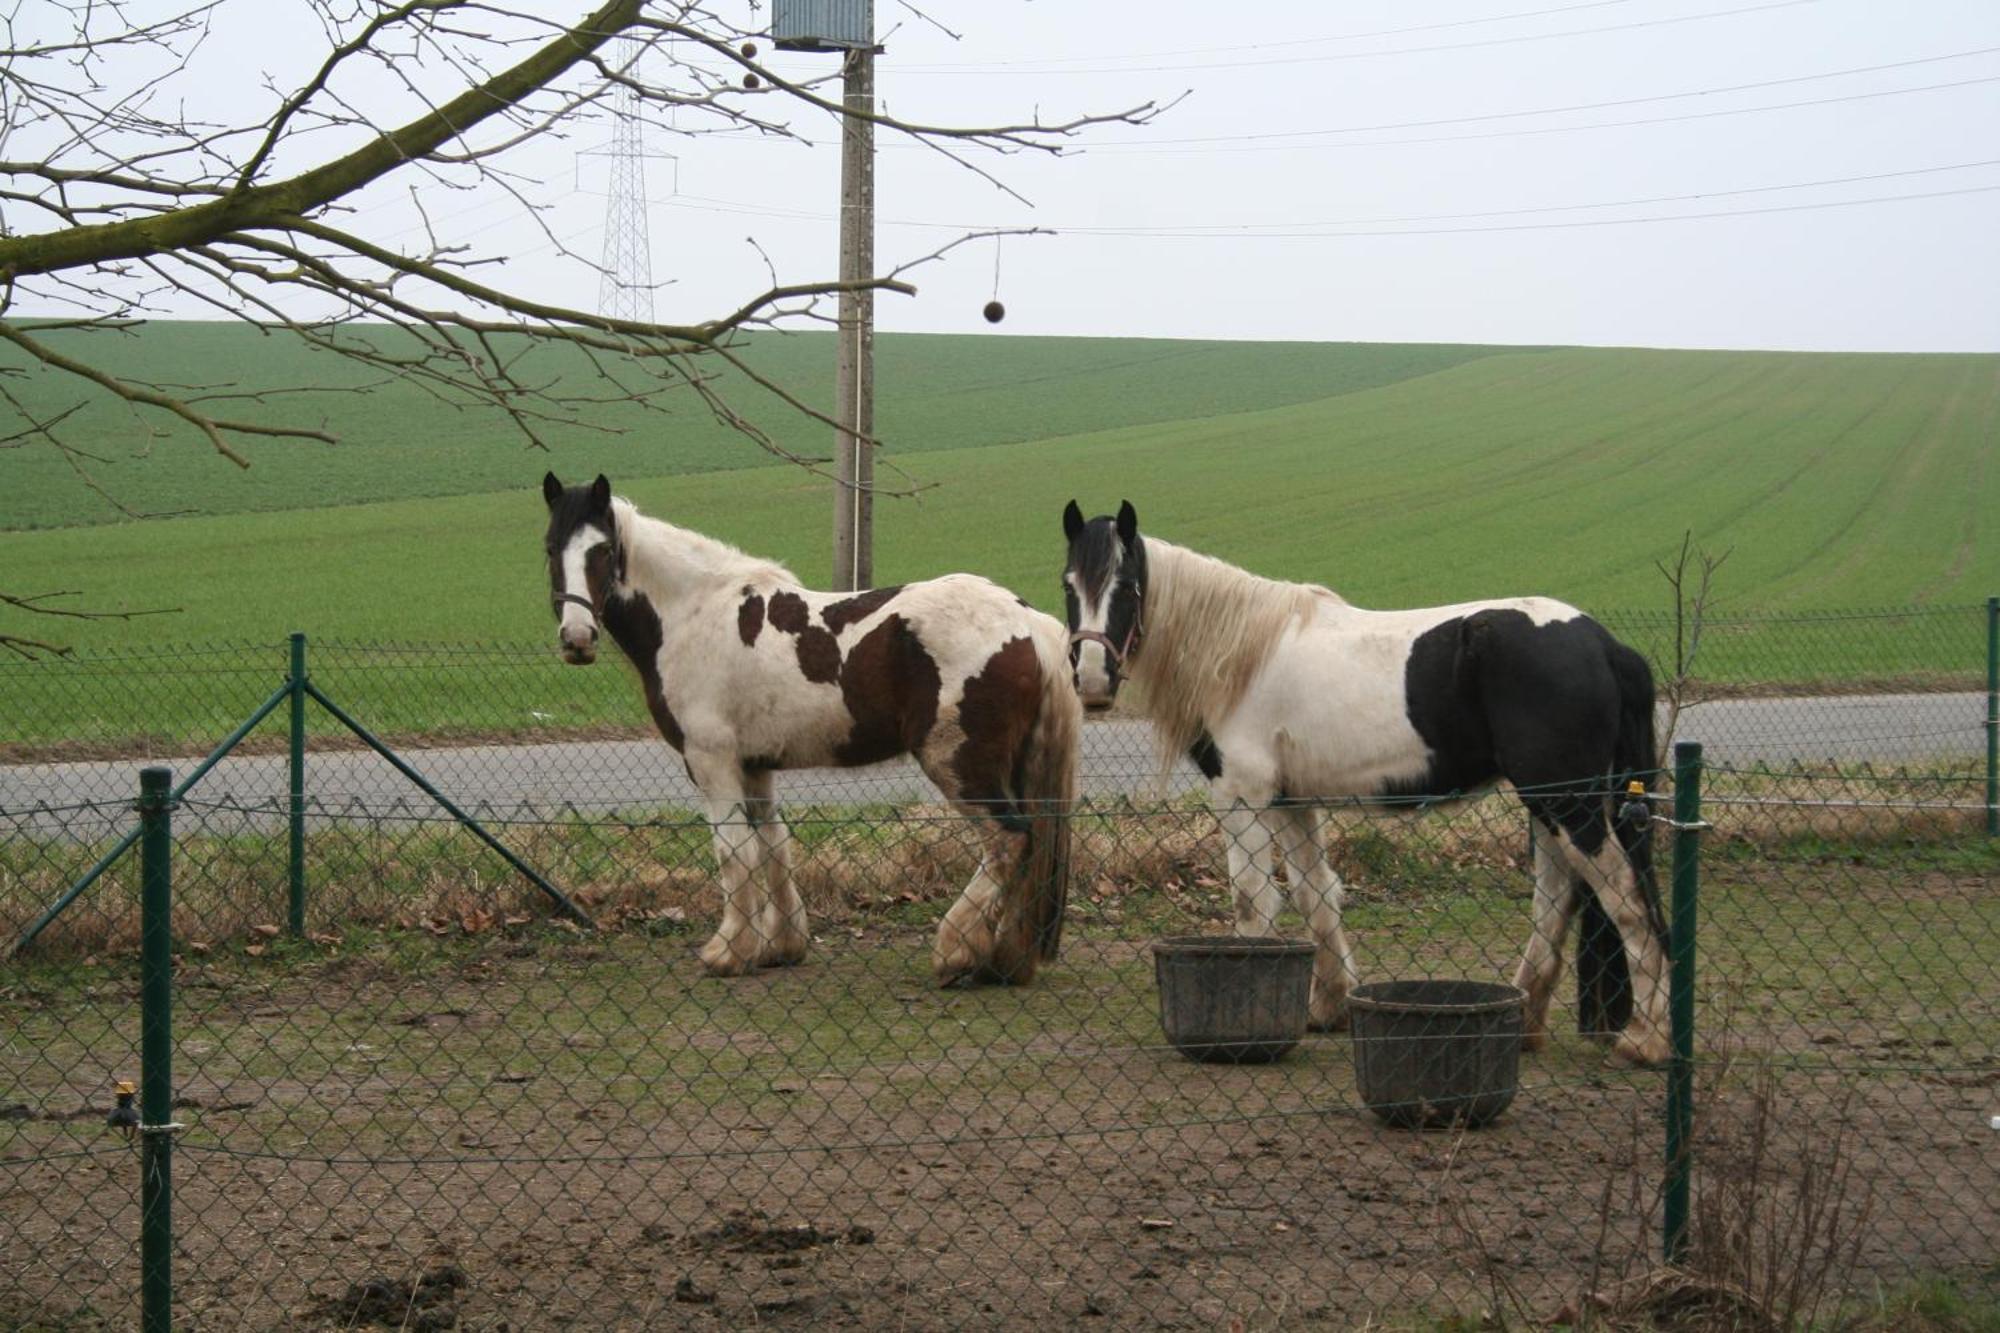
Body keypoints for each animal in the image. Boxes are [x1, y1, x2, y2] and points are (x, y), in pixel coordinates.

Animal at [544, 472, 1080, 980]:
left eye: (603, 550)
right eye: (550, 548)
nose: (577, 638)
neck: (694, 613)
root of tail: (1028, 623)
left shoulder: (710, 760)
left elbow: (732, 850)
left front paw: (728, 952)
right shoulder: (754, 765)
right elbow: (770, 844)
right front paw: (779, 946)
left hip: (958, 763)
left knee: (1007, 840)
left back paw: (955, 951)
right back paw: (1002, 960)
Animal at [1064, 500, 1672, 1072]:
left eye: (1126, 586)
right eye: (1069, 584)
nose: (1091, 682)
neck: (1240, 654)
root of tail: (1605, 645)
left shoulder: (1243, 797)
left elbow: (1252, 902)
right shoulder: (1292, 801)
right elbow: (1315, 896)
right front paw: (1327, 1008)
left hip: (1568, 803)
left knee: (1626, 898)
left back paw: (1645, 1040)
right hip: (1549, 803)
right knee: (1555, 901)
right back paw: (1526, 1024)